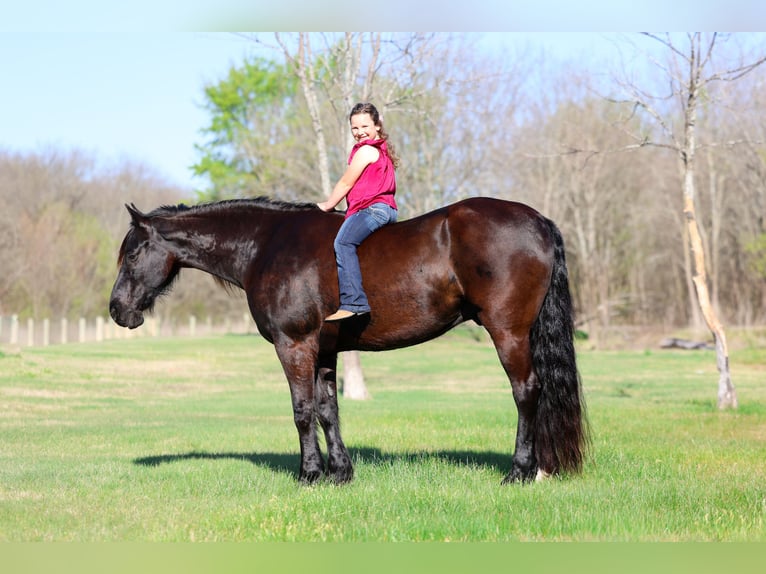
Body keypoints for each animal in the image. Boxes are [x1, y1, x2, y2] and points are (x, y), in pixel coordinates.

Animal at [109, 196, 588, 485]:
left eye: (132, 254)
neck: (265, 245)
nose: (116, 310)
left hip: (508, 332)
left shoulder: (294, 345)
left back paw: (520, 471)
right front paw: (339, 473)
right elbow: (328, 410)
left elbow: (302, 411)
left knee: (526, 392)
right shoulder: (324, 350)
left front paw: (308, 475)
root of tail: (539, 220)